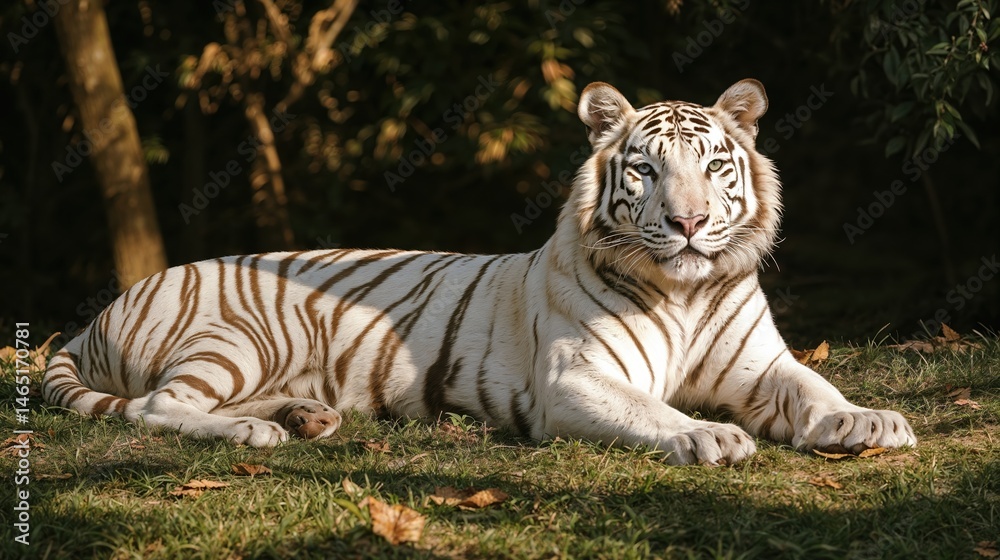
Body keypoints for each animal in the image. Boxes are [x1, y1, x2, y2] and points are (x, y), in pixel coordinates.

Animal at [42, 79, 917, 465]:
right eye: (646, 170)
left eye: (711, 165)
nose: (689, 224)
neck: (689, 289)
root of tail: (94, 318)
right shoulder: (577, 376)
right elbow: (653, 410)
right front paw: (709, 434)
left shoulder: (762, 364)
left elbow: (818, 388)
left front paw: (872, 421)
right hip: (239, 338)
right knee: (157, 406)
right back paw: (258, 430)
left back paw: (304, 417)